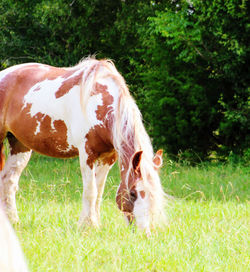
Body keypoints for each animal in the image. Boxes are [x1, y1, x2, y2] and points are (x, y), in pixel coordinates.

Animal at [0, 58, 166, 236]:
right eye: (133, 193)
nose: (145, 233)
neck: (100, 105)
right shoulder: (87, 155)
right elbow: (90, 192)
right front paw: (87, 225)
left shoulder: (108, 158)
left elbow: (99, 192)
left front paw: (96, 223)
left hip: (20, 146)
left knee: (8, 180)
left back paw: (13, 221)